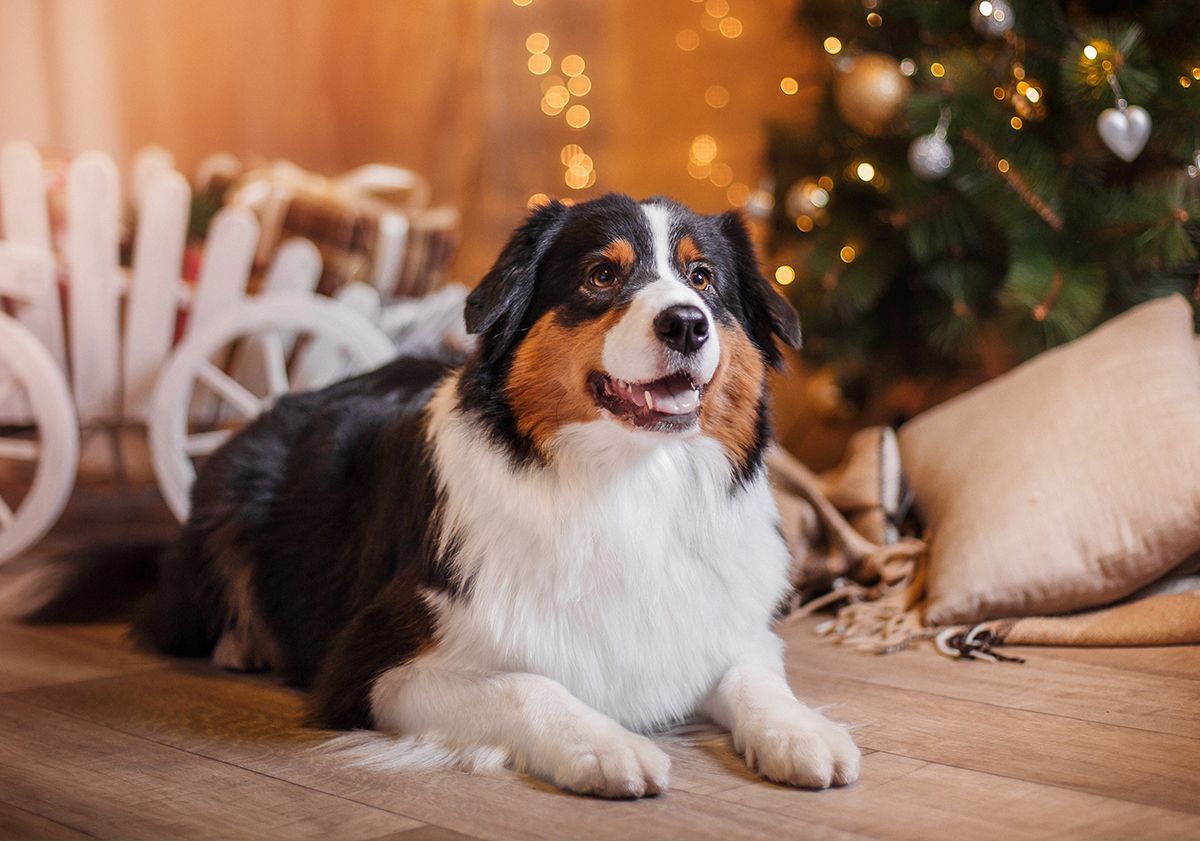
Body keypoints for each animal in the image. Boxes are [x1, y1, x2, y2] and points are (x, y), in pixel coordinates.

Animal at [25, 193, 864, 796]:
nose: (688, 324)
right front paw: (604, 743)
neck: (626, 484)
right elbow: (528, 683)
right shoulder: (372, 667)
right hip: (234, 489)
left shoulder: (724, 623)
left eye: (702, 279)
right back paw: (241, 641)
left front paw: (804, 732)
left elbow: (756, 674)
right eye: (602, 274)